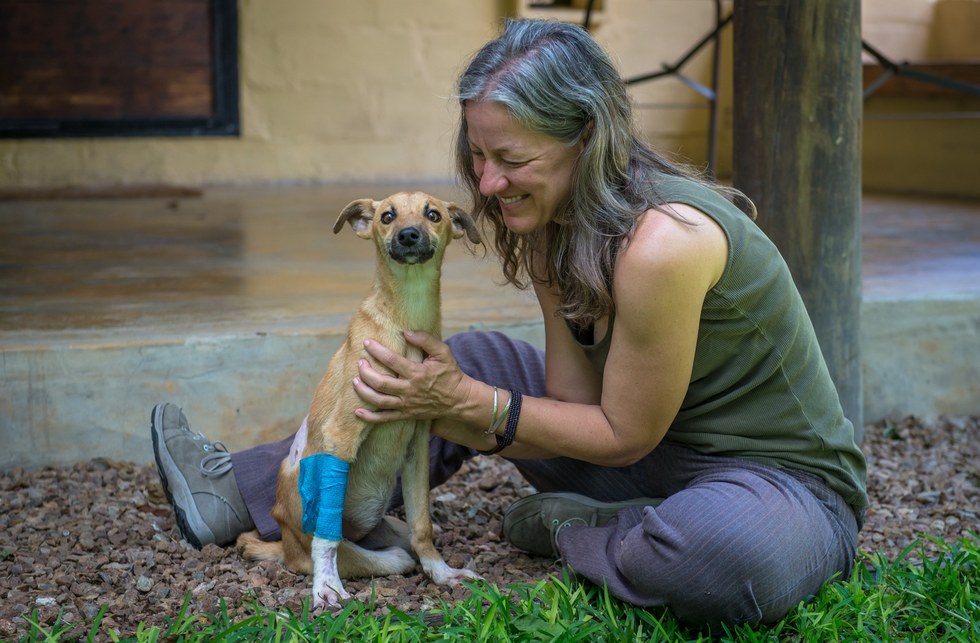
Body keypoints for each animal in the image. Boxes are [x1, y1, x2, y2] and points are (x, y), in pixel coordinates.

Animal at [237, 190, 482, 608]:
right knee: (374, 553)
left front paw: (441, 572)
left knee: (406, 540)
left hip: (389, 523)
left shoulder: (417, 446)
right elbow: (328, 538)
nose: (409, 235)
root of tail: (284, 545)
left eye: (433, 214)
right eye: (387, 216)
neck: (405, 317)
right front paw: (326, 588)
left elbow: (423, 524)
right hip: (331, 536)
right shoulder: (341, 435)